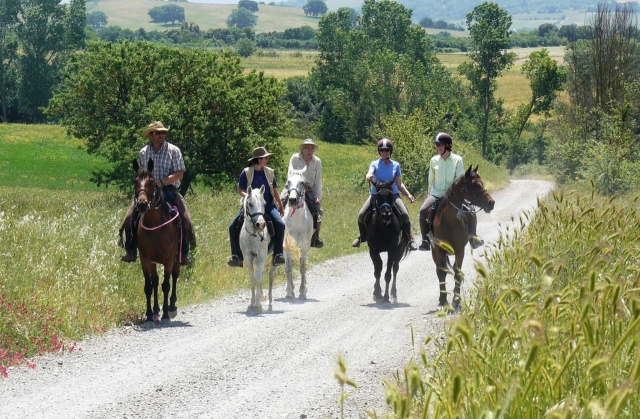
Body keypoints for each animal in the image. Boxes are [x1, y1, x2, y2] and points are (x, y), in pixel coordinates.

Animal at [130, 159, 180, 324]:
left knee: (175, 277)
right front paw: (149, 313)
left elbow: (166, 285)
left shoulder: (169, 259)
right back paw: (157, 310)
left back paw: (171, 307)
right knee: (156, 281)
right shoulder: (146, 258)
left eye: (152, 181)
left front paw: (165, 314)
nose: (142, 204)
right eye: (135, 181)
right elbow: (149, 285)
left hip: (177, 258)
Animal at [432, 166, 498, 314]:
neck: (449, 222)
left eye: (482, 183)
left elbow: (457, 273)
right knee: (439, 271)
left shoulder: (459, 250)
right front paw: (443, 302)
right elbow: (442, 273)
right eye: (474, 185)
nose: (491, 203)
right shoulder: (439, 250)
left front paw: (456, 301)